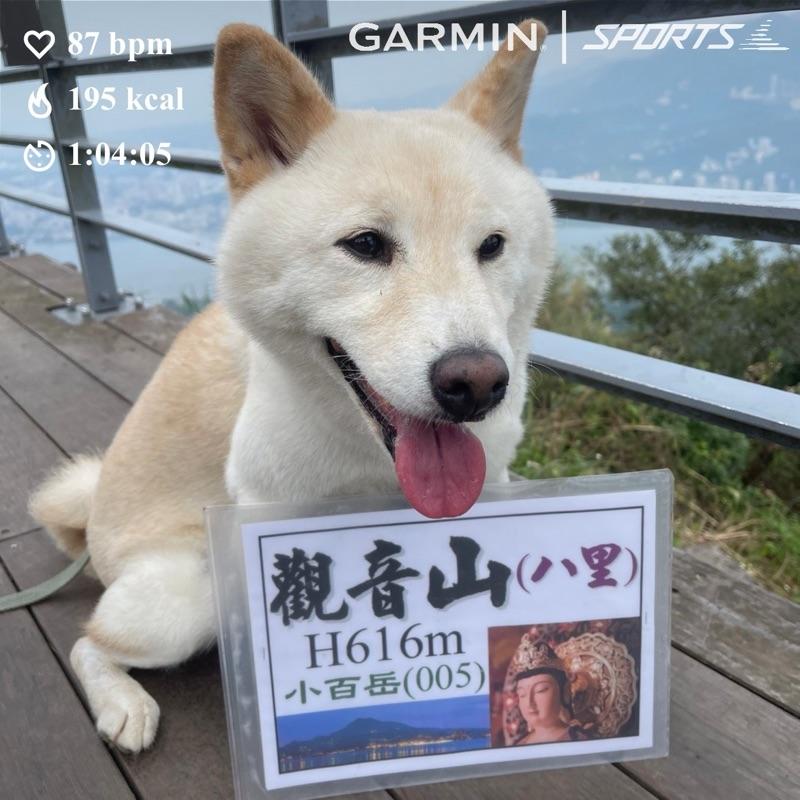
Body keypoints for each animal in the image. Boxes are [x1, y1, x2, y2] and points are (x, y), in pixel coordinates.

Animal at [29, 20, 555, 753]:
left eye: (492, 245)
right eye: (366, 245)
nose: (476, 382)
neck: (371, 461)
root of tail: (94, 521)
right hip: (189, 596)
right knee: (89, 643)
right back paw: (123, 705)